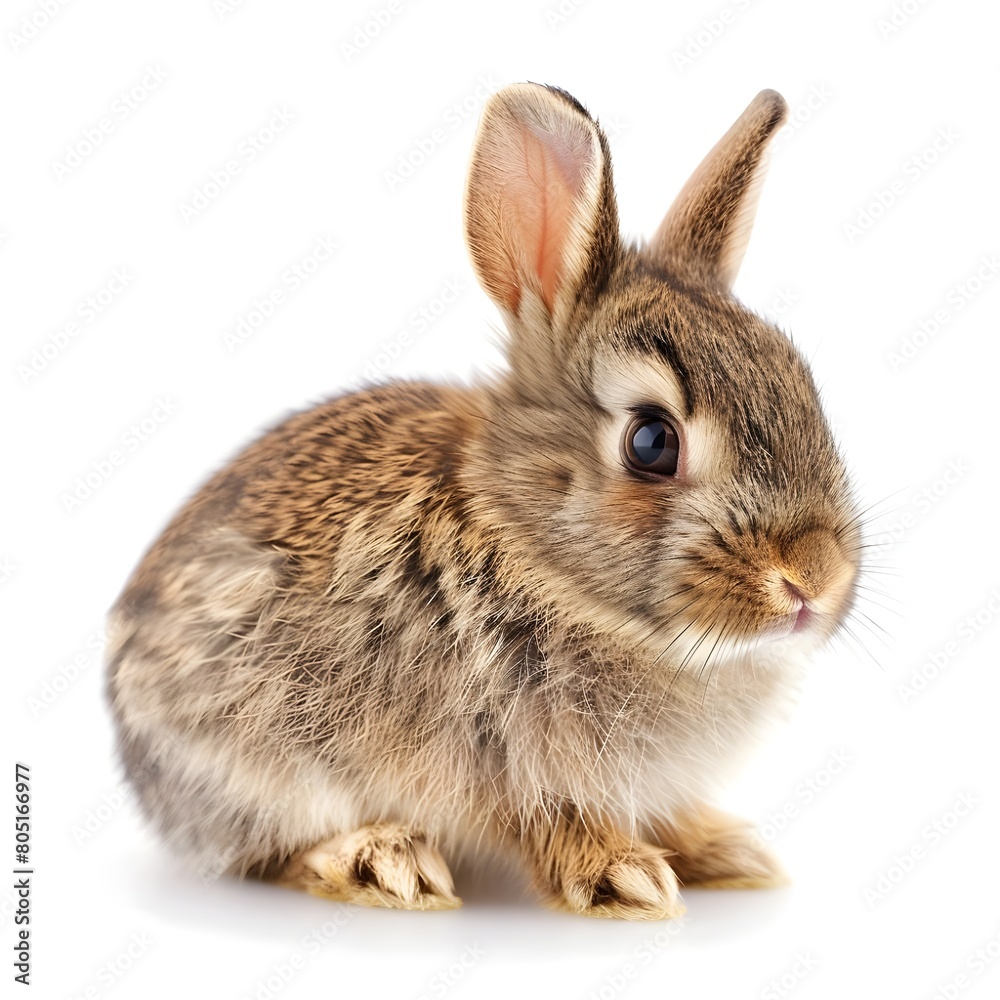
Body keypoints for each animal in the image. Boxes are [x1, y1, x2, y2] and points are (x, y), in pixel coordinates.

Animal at [105, 83, 861, 920]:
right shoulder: (506, 755)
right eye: (651, 442)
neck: (532, 552)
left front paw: (721, 850)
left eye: (801, 382)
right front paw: (625, 875)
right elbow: (549, 823)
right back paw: (381, 861)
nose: (814, 579)